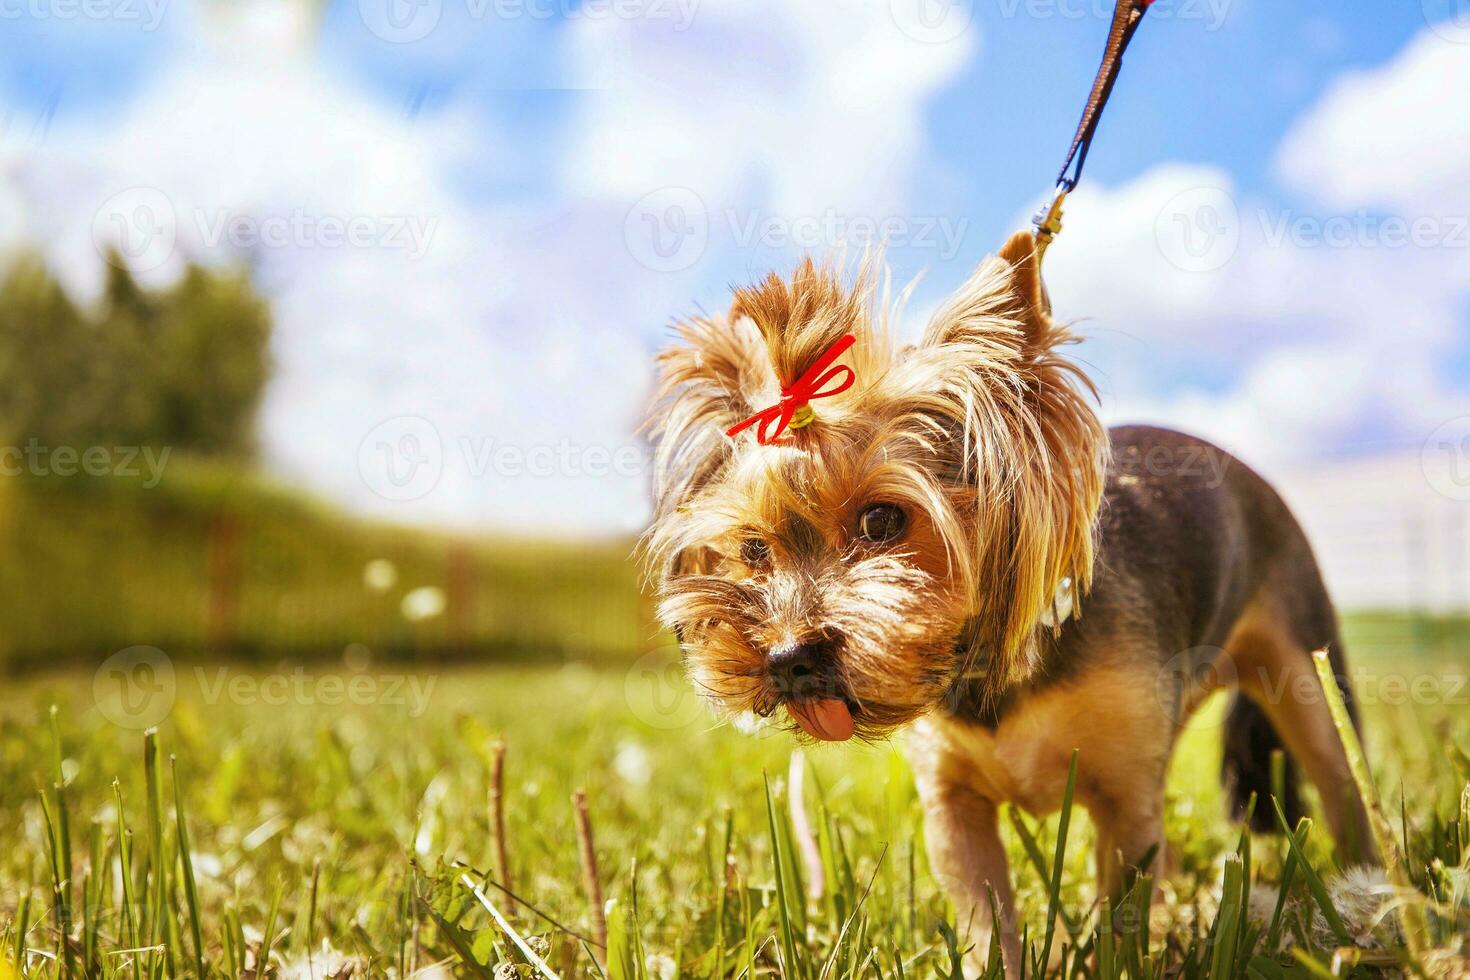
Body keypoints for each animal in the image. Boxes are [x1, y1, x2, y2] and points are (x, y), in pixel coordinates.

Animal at [637, 227, 1370, 975]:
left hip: (1303, 665)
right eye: (754, 549)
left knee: (1341, 780)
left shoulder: (1125, 797)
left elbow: (1123, 911)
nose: (786, 658)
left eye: (883, 520)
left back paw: (1361, 899)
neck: (998, 658)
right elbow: (985, 915)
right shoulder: (952, 805)